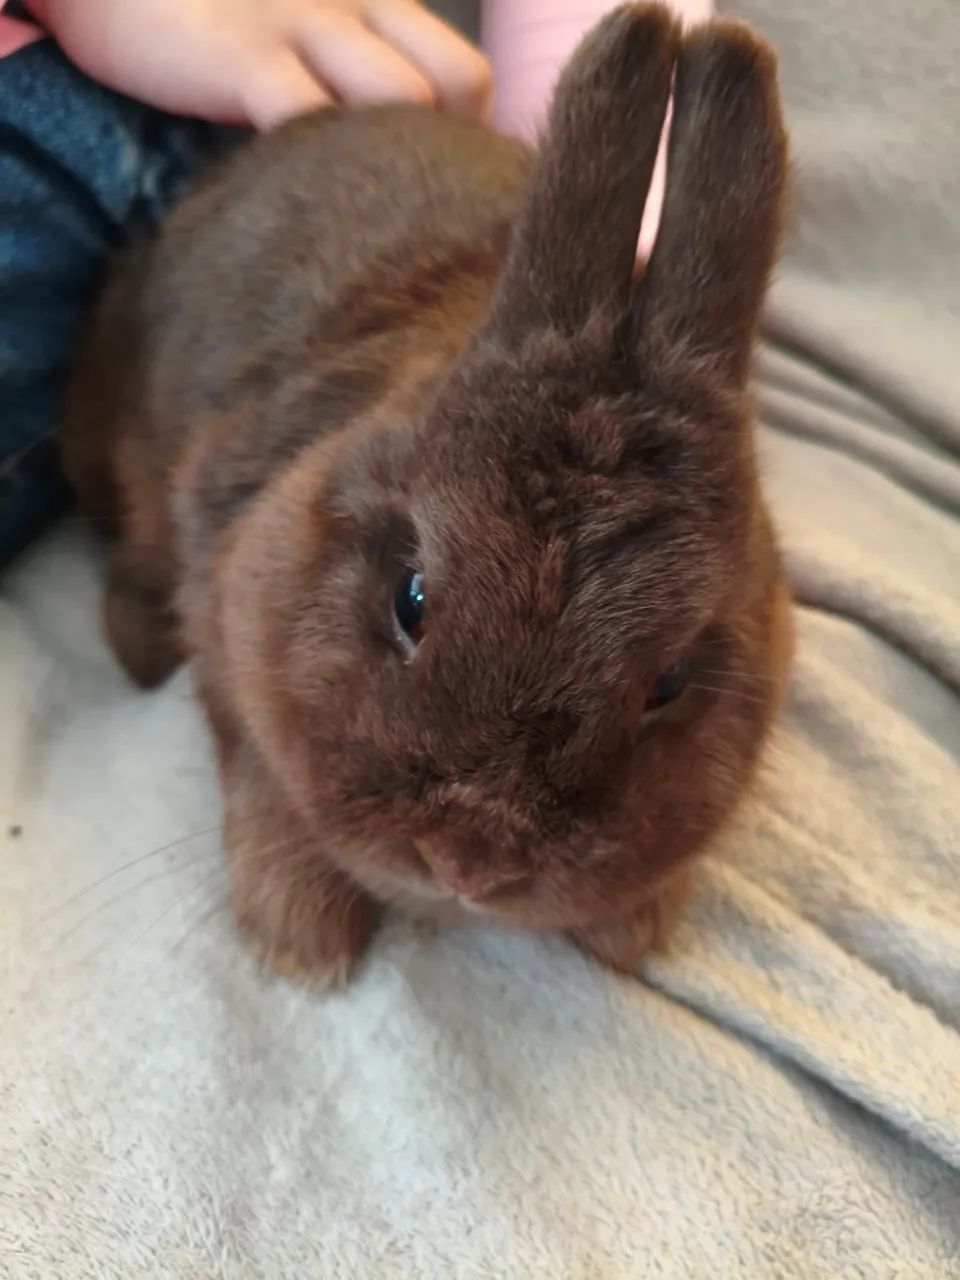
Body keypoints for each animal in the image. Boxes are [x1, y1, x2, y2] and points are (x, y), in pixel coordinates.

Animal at [61, 4, 792, 985]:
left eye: (671, 682)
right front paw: (299, 937)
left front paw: (632, 926)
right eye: (411, 600)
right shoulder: (221, 585)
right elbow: (251, 753)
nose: (468, 863)